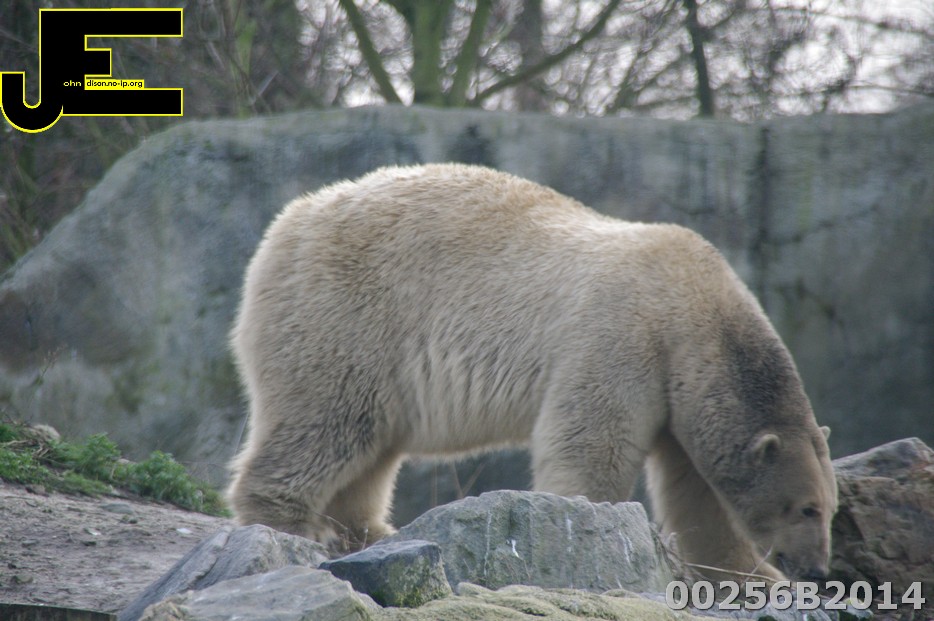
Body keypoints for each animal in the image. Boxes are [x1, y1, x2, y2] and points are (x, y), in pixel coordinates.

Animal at [227, 163, 837, 582]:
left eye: (830, 507)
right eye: (807, 507)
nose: (818, 569)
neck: (696, 308)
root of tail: (289, 222)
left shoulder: (682, 385)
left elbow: (698, 492)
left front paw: (755, 577)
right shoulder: (624, 338)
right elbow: (590, 443)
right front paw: (591, 534)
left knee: (371, 445)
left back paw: (371, 530)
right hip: (346, 316)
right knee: (327, 421)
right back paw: (288, 524)